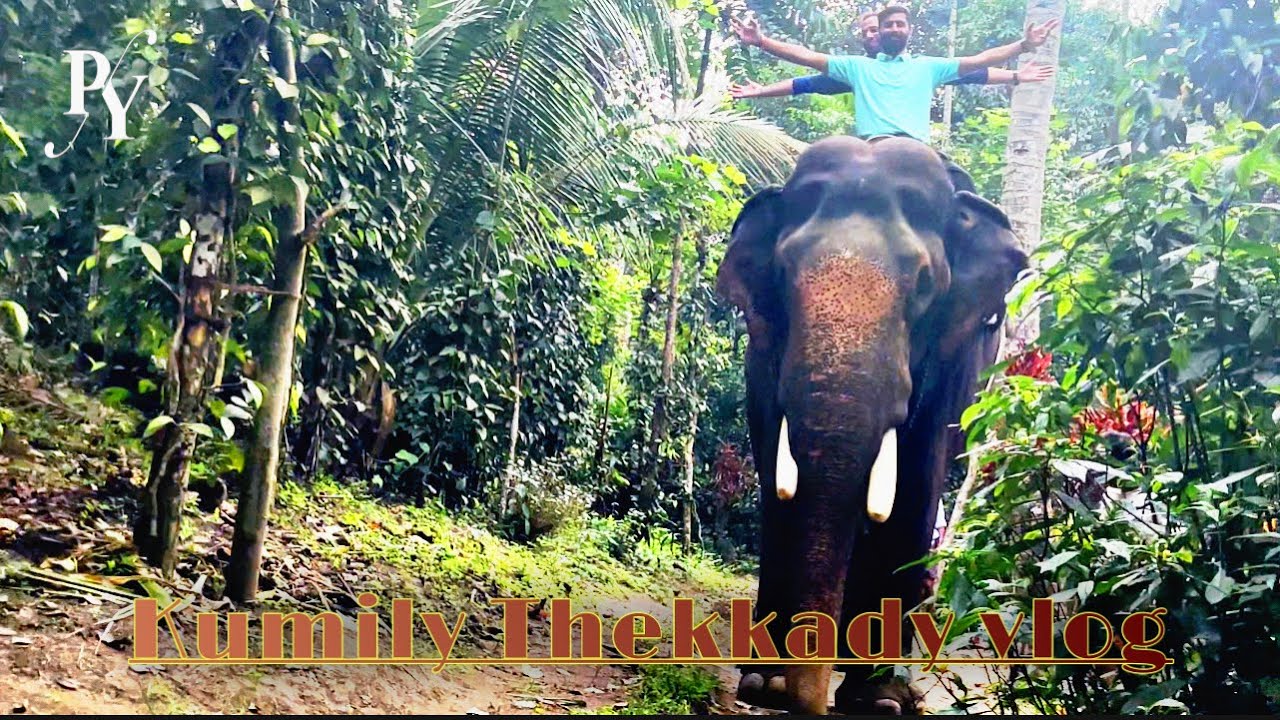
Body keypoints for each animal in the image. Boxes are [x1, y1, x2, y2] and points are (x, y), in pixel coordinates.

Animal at [714, 135, 1027, 714]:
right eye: (783, 274)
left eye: (924, 284)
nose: (801, 700)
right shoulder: (763, 351)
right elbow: (778, 481)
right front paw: (765, 686)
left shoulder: (957, 354)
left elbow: (916, 483)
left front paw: (881, 700)